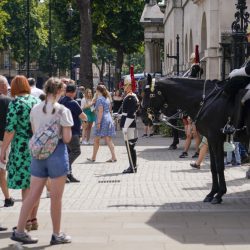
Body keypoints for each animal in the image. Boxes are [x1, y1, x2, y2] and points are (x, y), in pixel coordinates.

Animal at [145, 76, 250, 205]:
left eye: (149, 94)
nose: (145, 117)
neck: (206, 101)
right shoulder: (210, 139)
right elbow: (213, 166)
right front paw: (212, 193)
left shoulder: (216, 139)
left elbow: (219, 166)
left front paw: (219, 194)